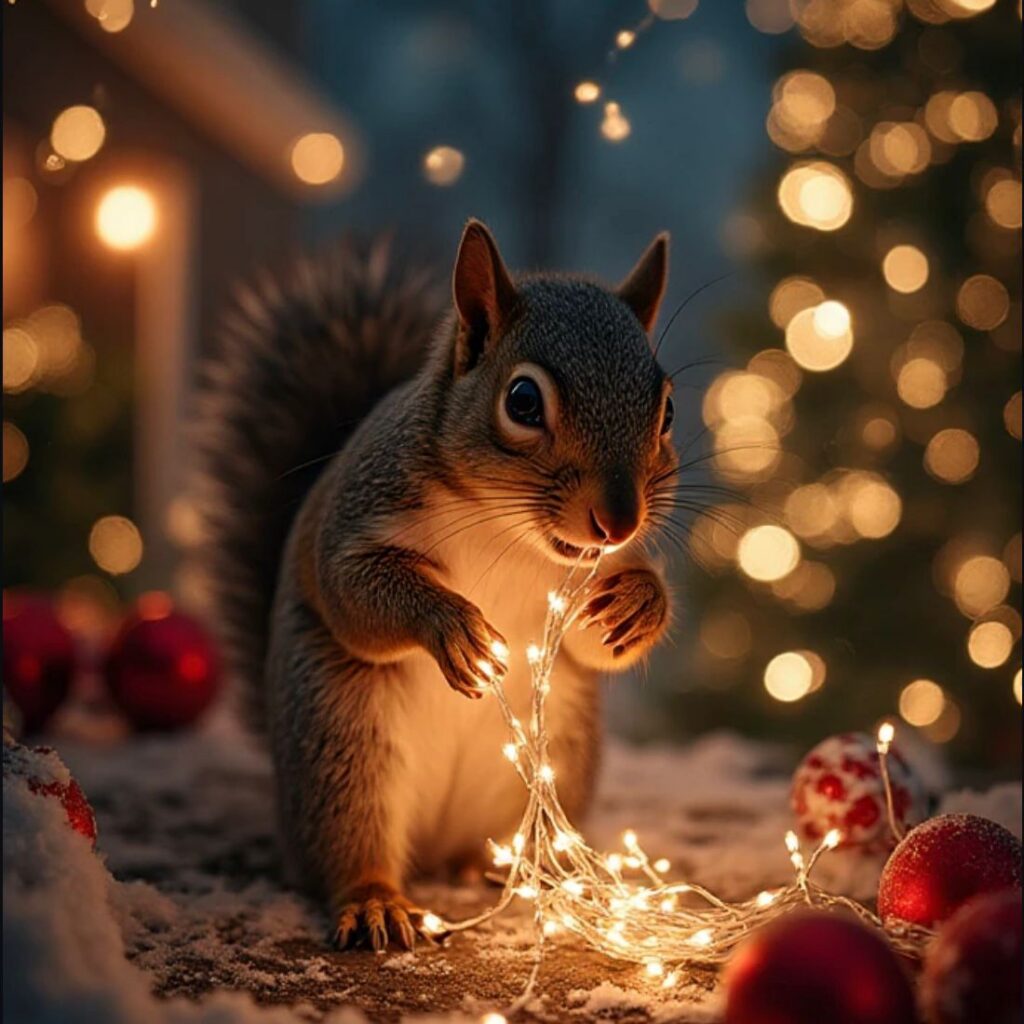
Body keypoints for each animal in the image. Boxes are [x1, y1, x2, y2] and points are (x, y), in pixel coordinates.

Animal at [196, 220, 679, 952]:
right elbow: (351, 591)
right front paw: (453, 627)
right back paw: (374, 900)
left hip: (559, 747)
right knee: (350, 844)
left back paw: (525, 872)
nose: (619, 521)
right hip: (341, 735)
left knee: (501, 844)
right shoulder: (357, 515)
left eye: (668, 411)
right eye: (523, 401)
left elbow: (599, 644)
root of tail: (431, 848)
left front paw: (639, 604)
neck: (507, 531)